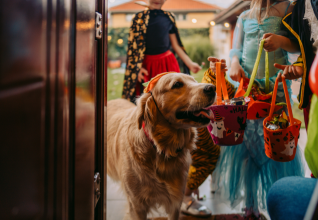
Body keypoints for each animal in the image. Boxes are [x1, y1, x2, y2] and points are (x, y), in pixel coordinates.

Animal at [107, 73, 216, 219]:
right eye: (177, 84)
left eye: (194, 80)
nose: (212, 88)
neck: (161, 148)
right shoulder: (137, 205)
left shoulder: (176, 202)